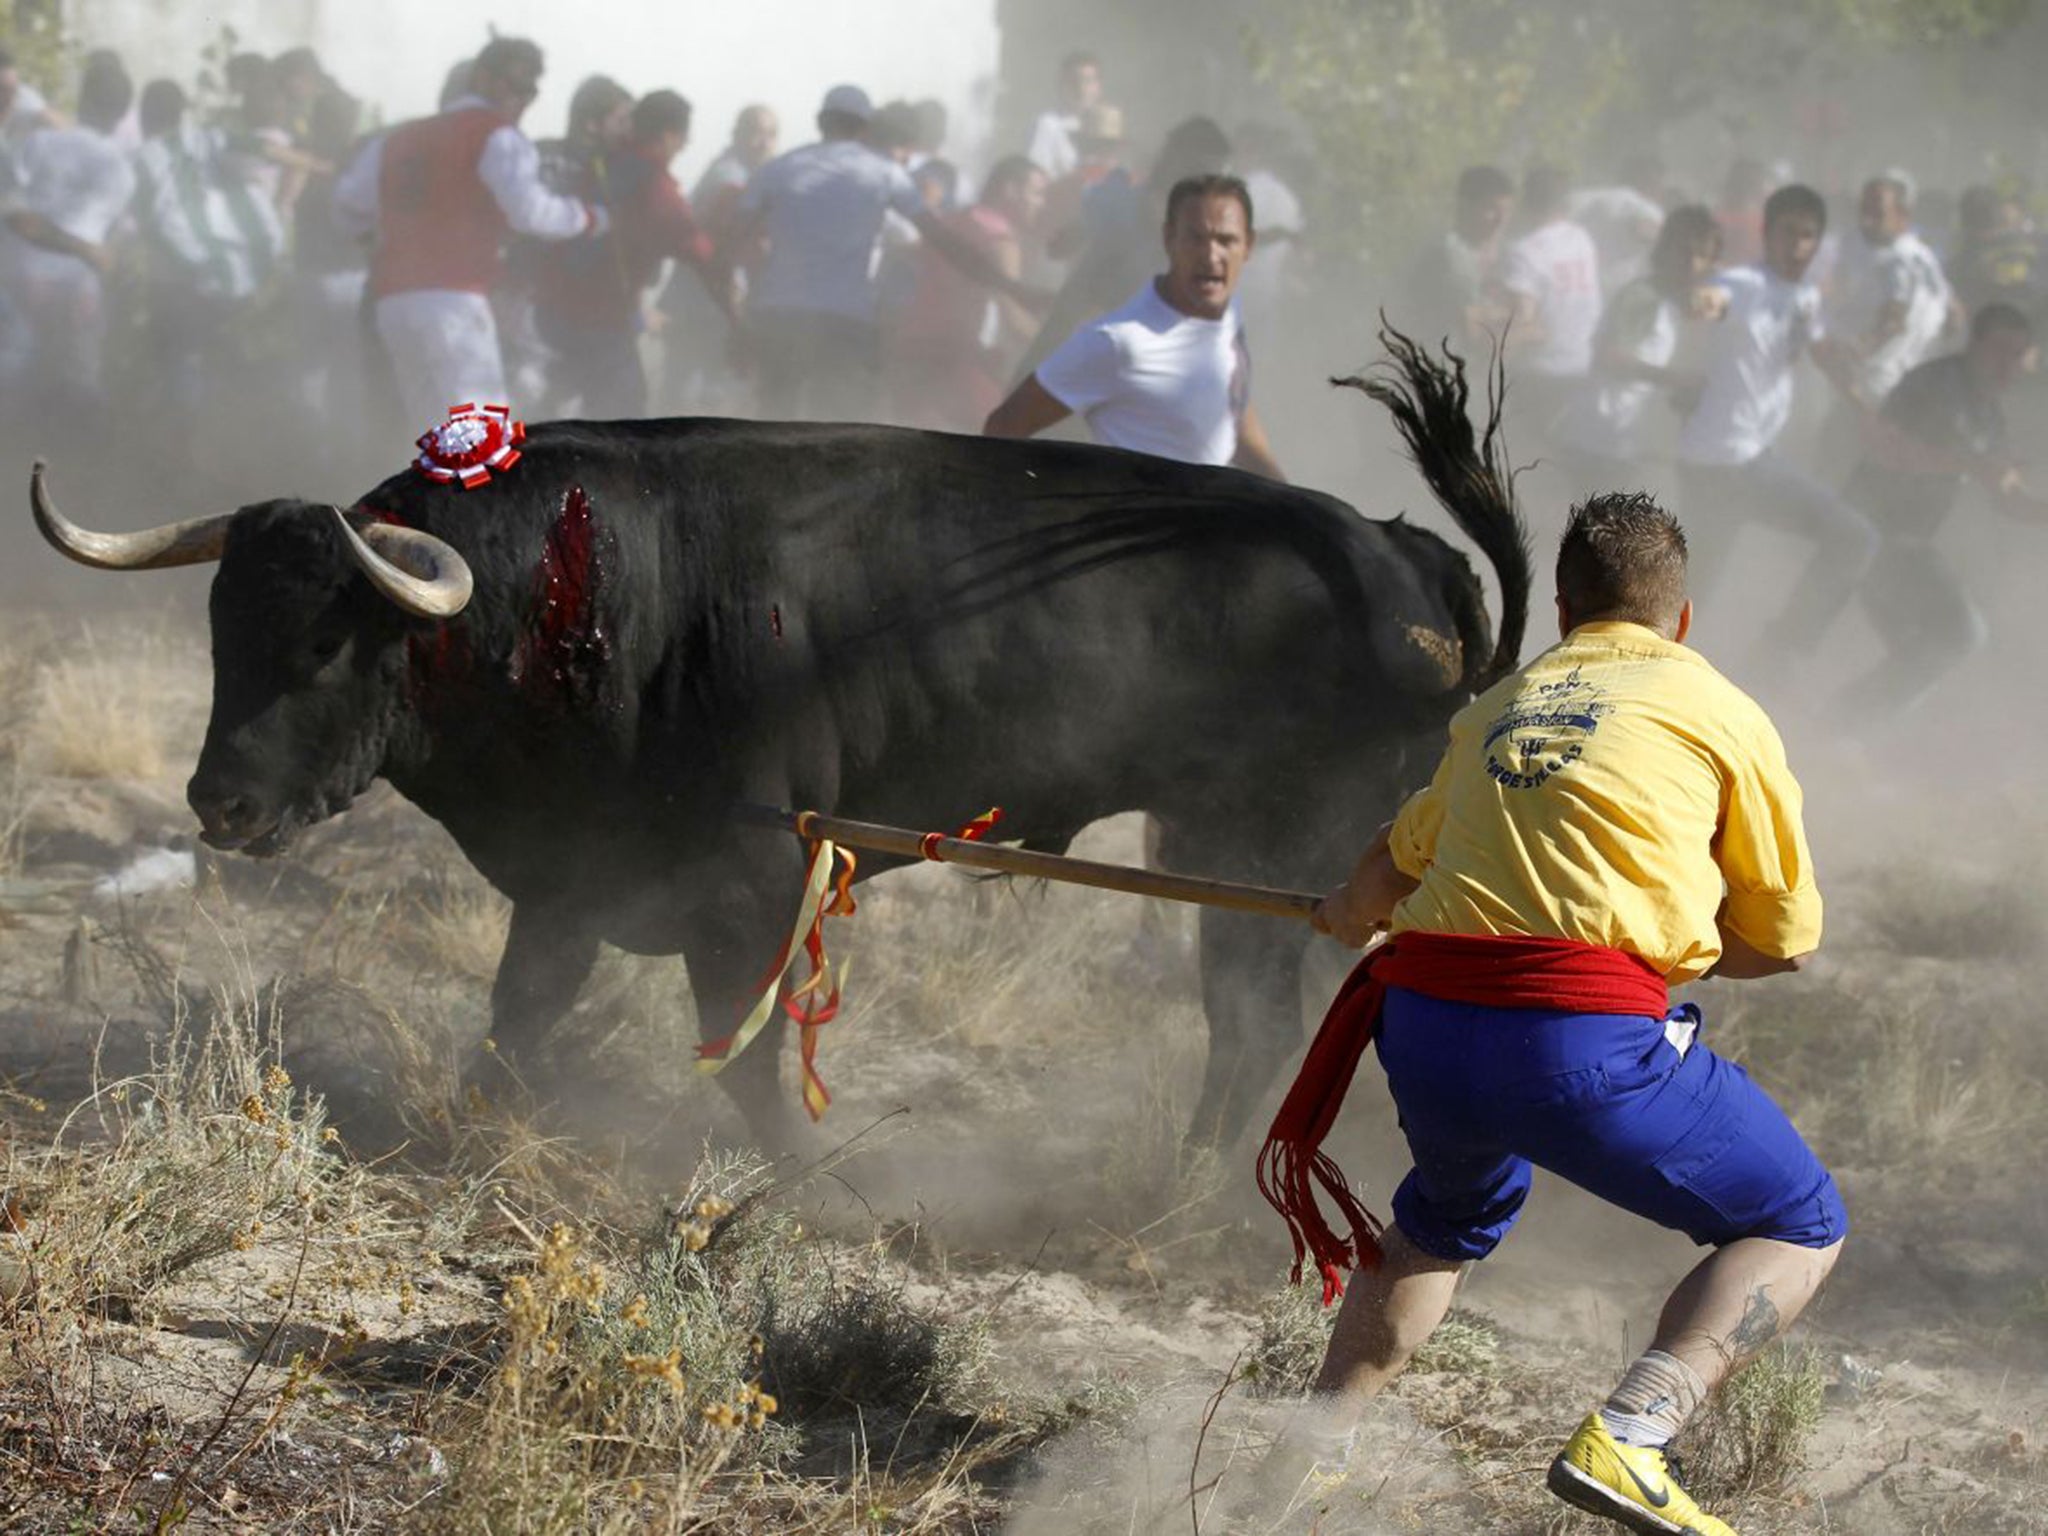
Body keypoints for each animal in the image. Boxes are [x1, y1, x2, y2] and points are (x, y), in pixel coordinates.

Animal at [32, 335, 1531, 1155]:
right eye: (223, 628)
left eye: (330, 644)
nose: (219, 803)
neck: (578, 593)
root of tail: (1400, 555)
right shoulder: (574, 881)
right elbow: (519, 1018)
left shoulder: (748, 885)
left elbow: (744, 1060)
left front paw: (811, 1186)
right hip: (1225, 847)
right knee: (1251, 1020)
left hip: (1274, 851)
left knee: (1251, 1021)